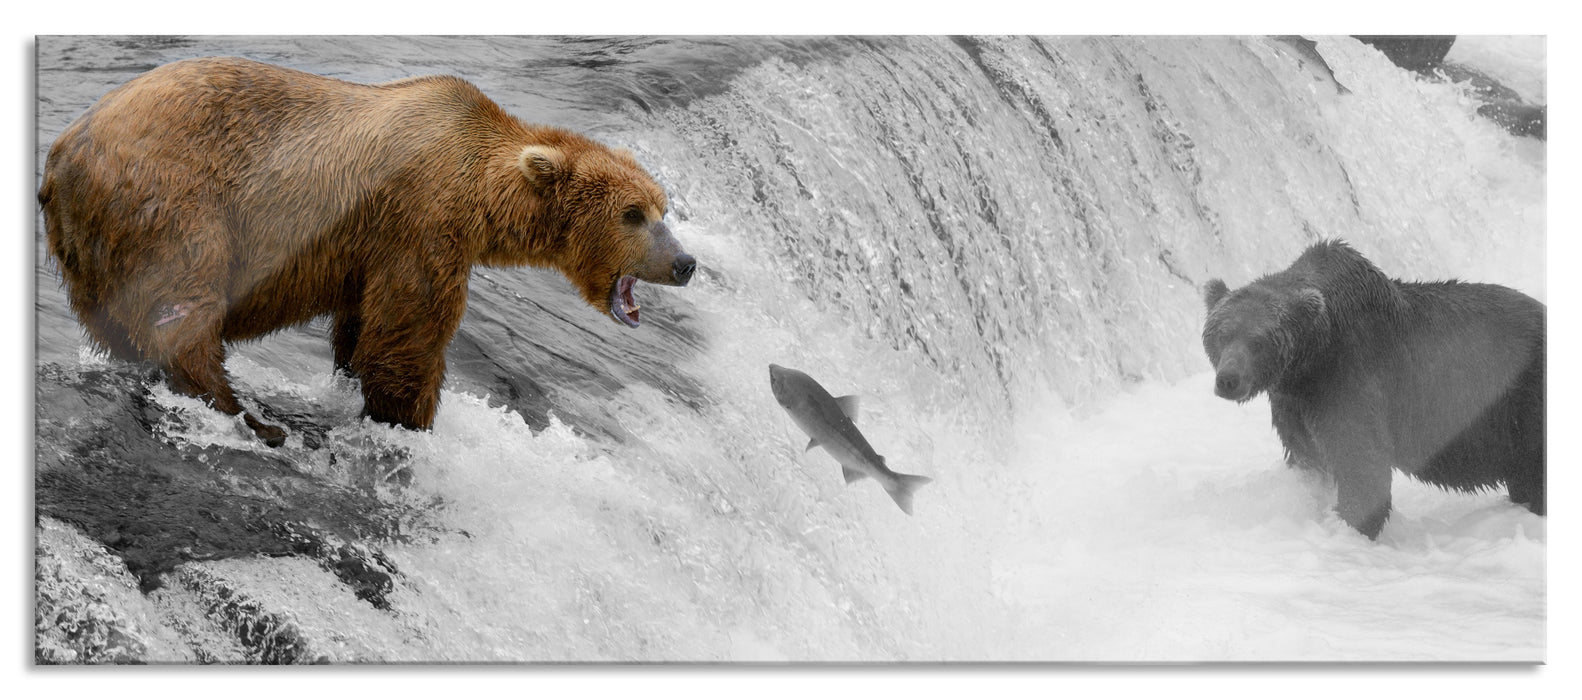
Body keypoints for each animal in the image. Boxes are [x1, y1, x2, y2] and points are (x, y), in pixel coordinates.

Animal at [39, 57, 696, 446]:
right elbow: (408, 334)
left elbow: (362, 327)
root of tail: (62, 153)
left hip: (92, 244)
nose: (685, 263)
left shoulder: (373, 247)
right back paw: (251, 418)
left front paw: (357, 381)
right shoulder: (422, 221)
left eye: (663, 207)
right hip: (172, 200)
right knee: (185, 306)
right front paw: (409, 417)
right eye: (633, 214)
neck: (483, 196)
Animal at [1200, 240, 1544, 539]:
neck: (1310, 361)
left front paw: (1350, 524)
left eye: (1257, 341)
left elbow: (1361, 461)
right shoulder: (1293, 401)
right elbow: (1307, 454)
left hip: (1523, 401)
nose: (1228, 379)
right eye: (1221, 334)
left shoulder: (1350, 376)